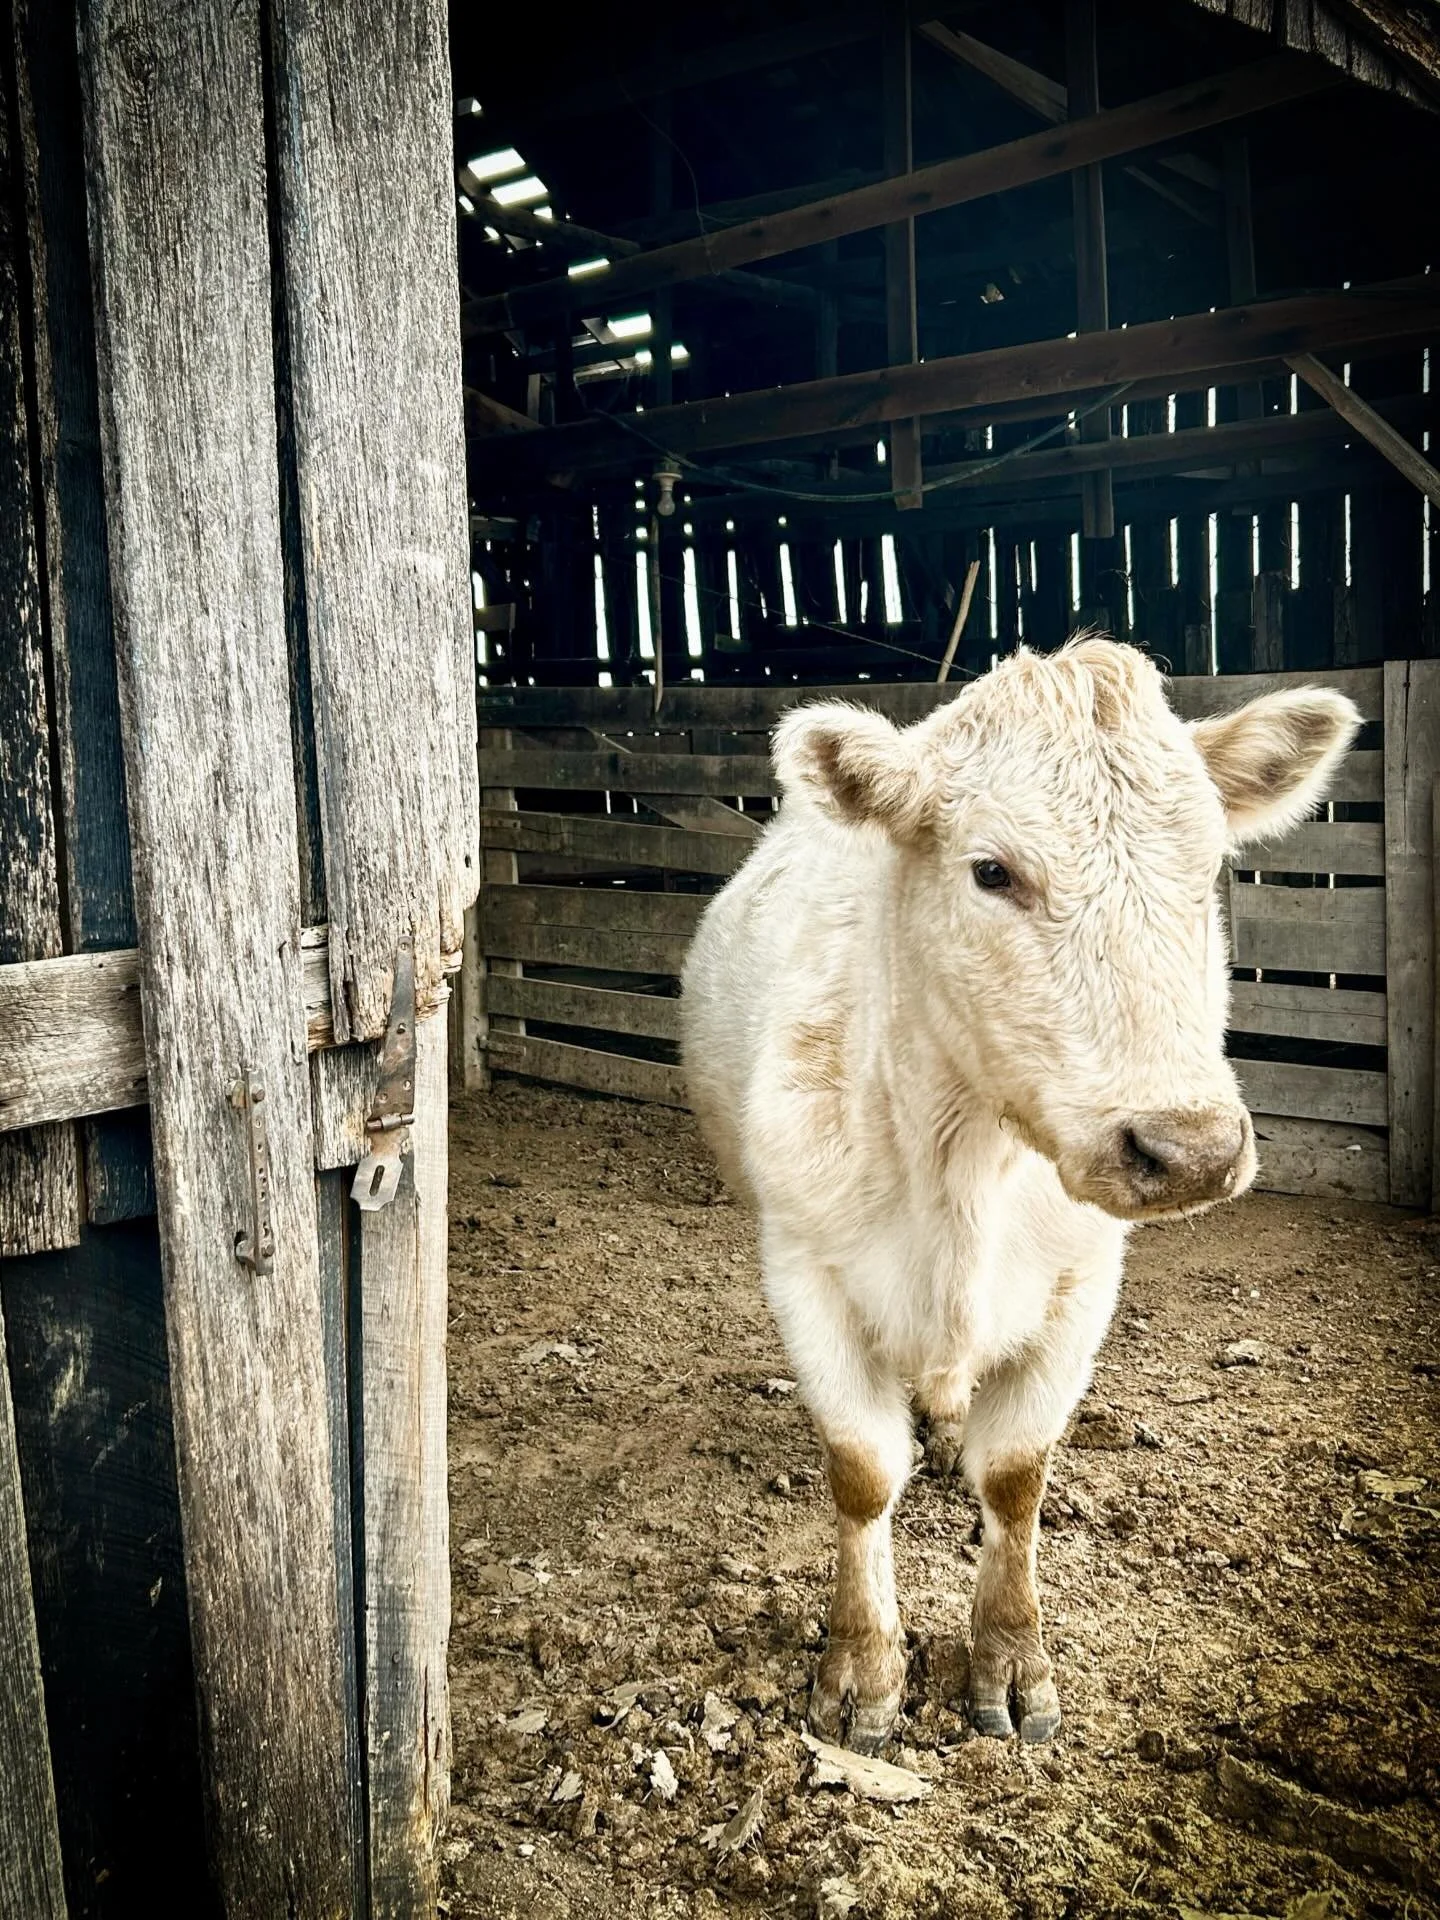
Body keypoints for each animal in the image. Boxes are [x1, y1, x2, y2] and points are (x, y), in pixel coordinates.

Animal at [681, 636, 1359, 1752]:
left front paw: (1011, 1661)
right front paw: (862, 1669)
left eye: (1208, 869)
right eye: (991, 871)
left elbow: (1017, 1474)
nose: (1192, 1149)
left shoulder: (1083, 1282)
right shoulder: (804, 1267)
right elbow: (861, 1473)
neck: (964, 1165)